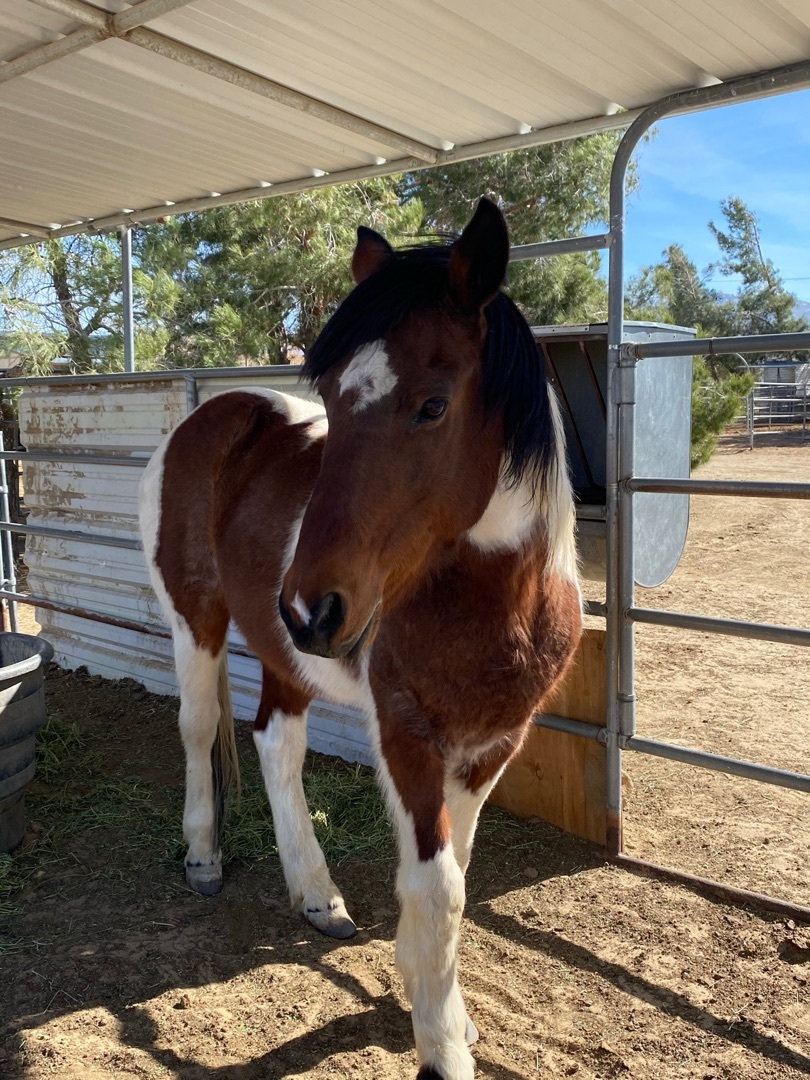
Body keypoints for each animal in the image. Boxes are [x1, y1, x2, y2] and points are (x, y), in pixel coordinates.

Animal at [139, 197, 582, 1080]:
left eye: (433, 405)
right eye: (335, 404)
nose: (311, 608)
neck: (494, 605)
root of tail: (210, 415)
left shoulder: (491, 745)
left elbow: (453, 876)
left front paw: (439, 1004)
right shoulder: (406, 738)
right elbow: (437, 885)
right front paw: (440, 1045)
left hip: (284, 657)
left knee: (276, 744)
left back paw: (318, 895)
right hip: (197, 621)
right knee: (199, 726)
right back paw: (203, 856)